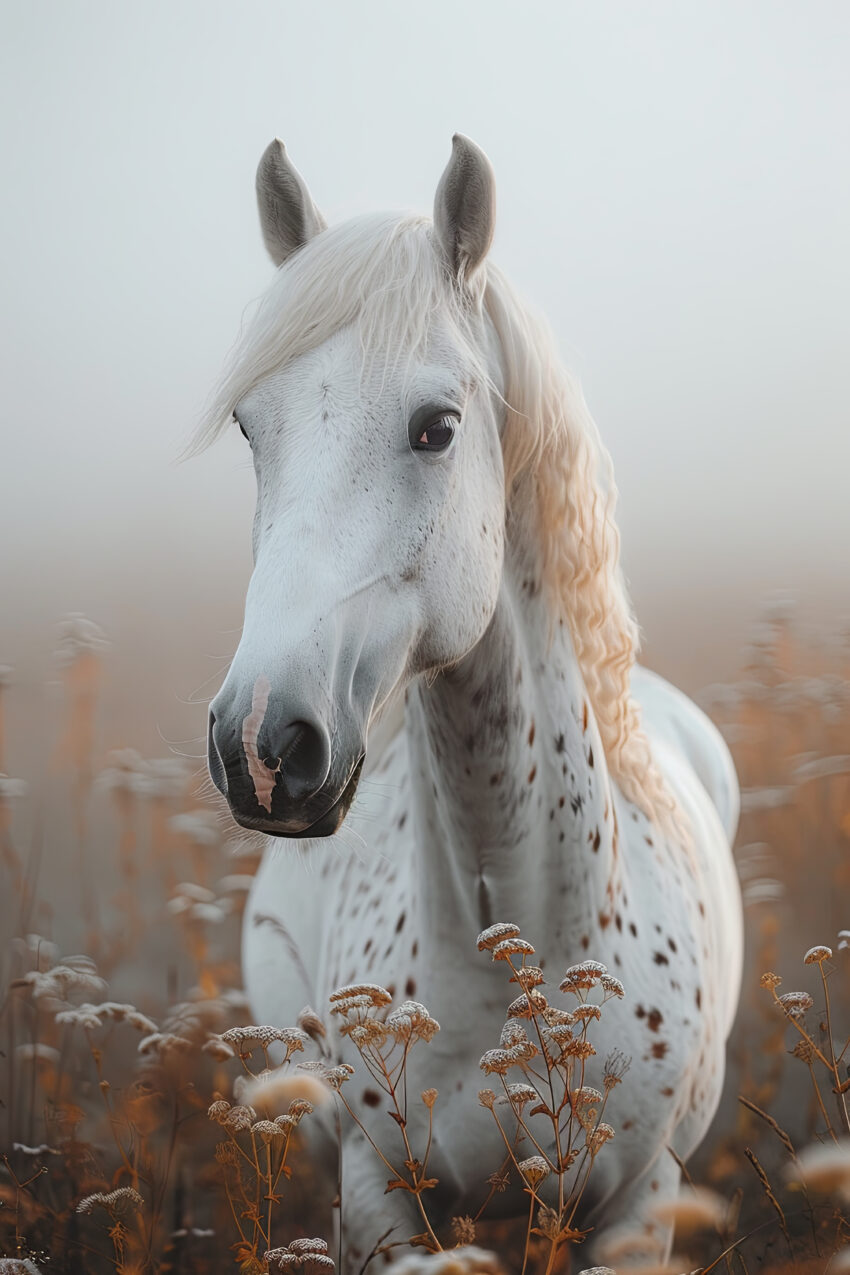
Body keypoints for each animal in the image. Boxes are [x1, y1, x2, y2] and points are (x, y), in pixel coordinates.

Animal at [200, 134, 743, 1269]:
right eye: (248, 427)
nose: (263, 743)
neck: (520, 952)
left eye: (436, 427)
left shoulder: (641, 1206)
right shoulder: (378, 1200)